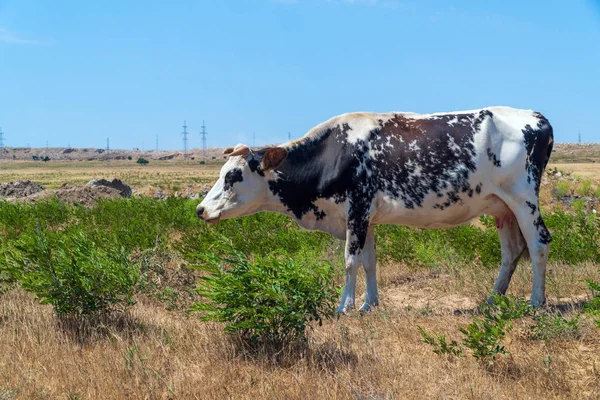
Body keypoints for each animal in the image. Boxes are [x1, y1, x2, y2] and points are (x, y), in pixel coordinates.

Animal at [199, 106, 556, 312]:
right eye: (221, 172)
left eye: (233, 176)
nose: (200, 209)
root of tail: (536, 117)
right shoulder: (365, 217)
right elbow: (370, 261)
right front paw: (369, 304)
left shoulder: (356, 210)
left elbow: (350, 261)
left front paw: (344, 307)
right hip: (501, 207)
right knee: (512, 251)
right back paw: (491, 300)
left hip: (523, 198)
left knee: (538, 243)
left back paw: (535, 302)